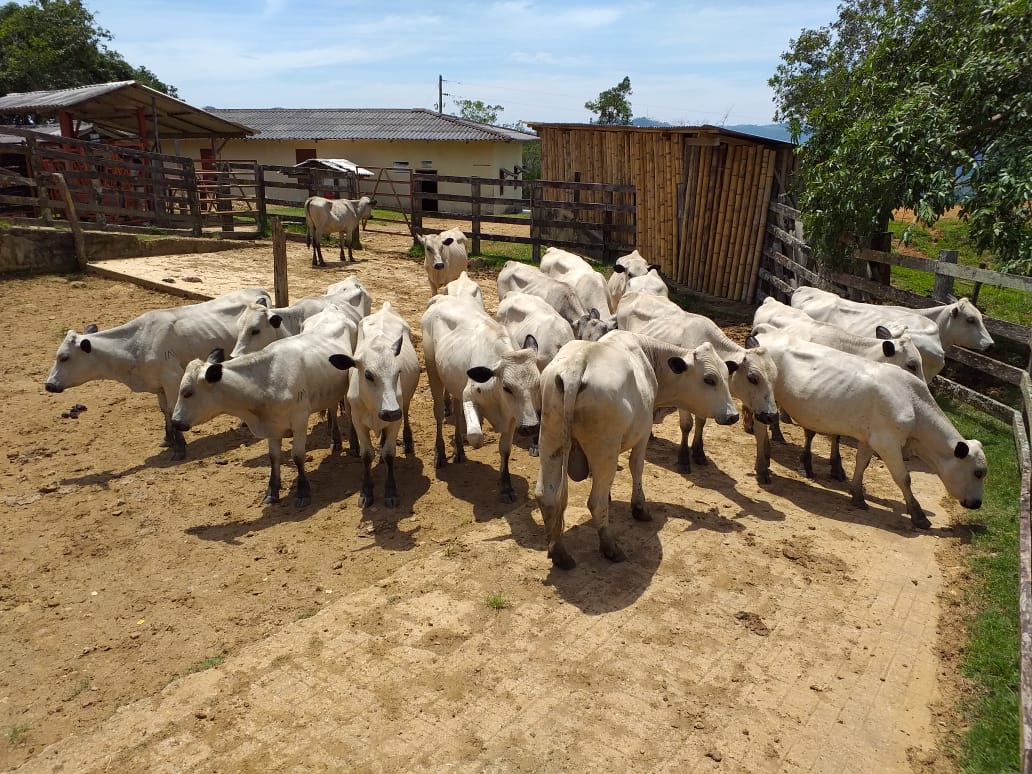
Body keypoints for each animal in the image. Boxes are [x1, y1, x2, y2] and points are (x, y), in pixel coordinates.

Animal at [43, 288, 270, 460]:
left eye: (64, 357)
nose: (49, 385)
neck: (134, 345)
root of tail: (258, 290)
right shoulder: (158, 385)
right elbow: (164, 412)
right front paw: (168, 440)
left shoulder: (172, 379)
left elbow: (172, 409)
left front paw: (180, 449)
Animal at [171, 311, 357, 509]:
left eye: (187, 393)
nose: (175, 422)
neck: (267, 381)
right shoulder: (272, 427)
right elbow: (273, 457)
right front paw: (272, 492)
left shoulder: (299, 422)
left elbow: (298, 456)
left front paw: (303, 492)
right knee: (332, 409)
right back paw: (336, 441)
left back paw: (354, 445)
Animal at [326, 301, 414, 509]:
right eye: (368, 375)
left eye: (398, 372)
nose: (390, 412)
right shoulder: (358, 422)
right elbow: (366, 455)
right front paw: (366, 491)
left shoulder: (395, 421)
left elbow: (390, 453)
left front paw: (391, 492)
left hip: (404, 405)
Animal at [615, 291, 776, 472]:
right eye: (752, 378)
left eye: (775, 378)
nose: (771, 415)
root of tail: (634, 293)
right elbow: (687, 425)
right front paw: (684, 457)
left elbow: (701, 422)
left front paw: (699, 452)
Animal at [751, 330, 982, 532]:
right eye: (978, 472)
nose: (977, 503)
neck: (913, 403)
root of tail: (762, 338)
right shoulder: (887, 442)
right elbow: (903, 477)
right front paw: (918, 515)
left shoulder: (870, 438)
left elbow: (862, 462)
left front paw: (857, 495)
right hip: (764, 403)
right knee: (761, 430)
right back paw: (762, 468)